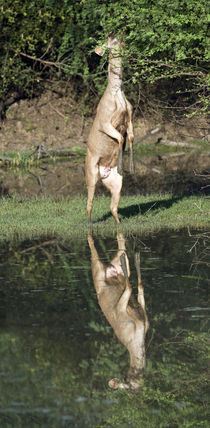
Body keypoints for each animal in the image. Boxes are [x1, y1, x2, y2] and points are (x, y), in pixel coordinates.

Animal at [85, 32, 135, 224]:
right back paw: (88, 223)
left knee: (113, 206)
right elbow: (120, 138)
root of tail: (102, 175)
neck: (117, 96)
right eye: (109, 40)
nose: (114, 32)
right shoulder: (105, 122)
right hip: (91, 172)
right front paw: (123, 164)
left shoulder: (130, 116)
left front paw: (130, 168)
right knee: (89, 203)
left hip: (115, 183)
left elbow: (130, 137)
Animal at [87, 232, 149, 390]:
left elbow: (140, 285)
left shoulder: (144, 316)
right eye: (127, 383)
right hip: (99, 273)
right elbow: (131, 286)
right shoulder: (121, 309)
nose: (130, 379)